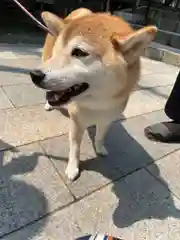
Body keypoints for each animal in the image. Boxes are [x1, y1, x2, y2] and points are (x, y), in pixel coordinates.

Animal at [30, 7, 157, 180]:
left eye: (79, 52)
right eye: (58, 51)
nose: (34, 75)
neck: (98, 104)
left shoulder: (107, 119)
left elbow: (100, 136)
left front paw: (100, 148)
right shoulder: (76, 122)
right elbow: (75, 148)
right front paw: (73, 168)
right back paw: (49, 104)